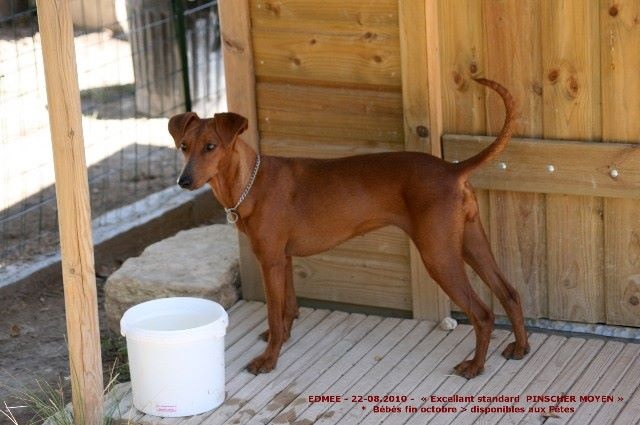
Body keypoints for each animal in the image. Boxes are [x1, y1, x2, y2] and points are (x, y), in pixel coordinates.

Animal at [169, 78, 529, 379]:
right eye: (184, 146)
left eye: (211, 147)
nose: (183, 181)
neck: (249, 183)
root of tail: (452, 170)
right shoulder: (283, 258)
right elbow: (288, 308)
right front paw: (281, 338)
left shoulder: (269, 260)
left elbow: (273, 311)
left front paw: (268, 359)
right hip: (470, 242)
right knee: (509, 292)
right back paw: (521, 347)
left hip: (439, 255)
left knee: (483, 312)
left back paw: (475, 366)